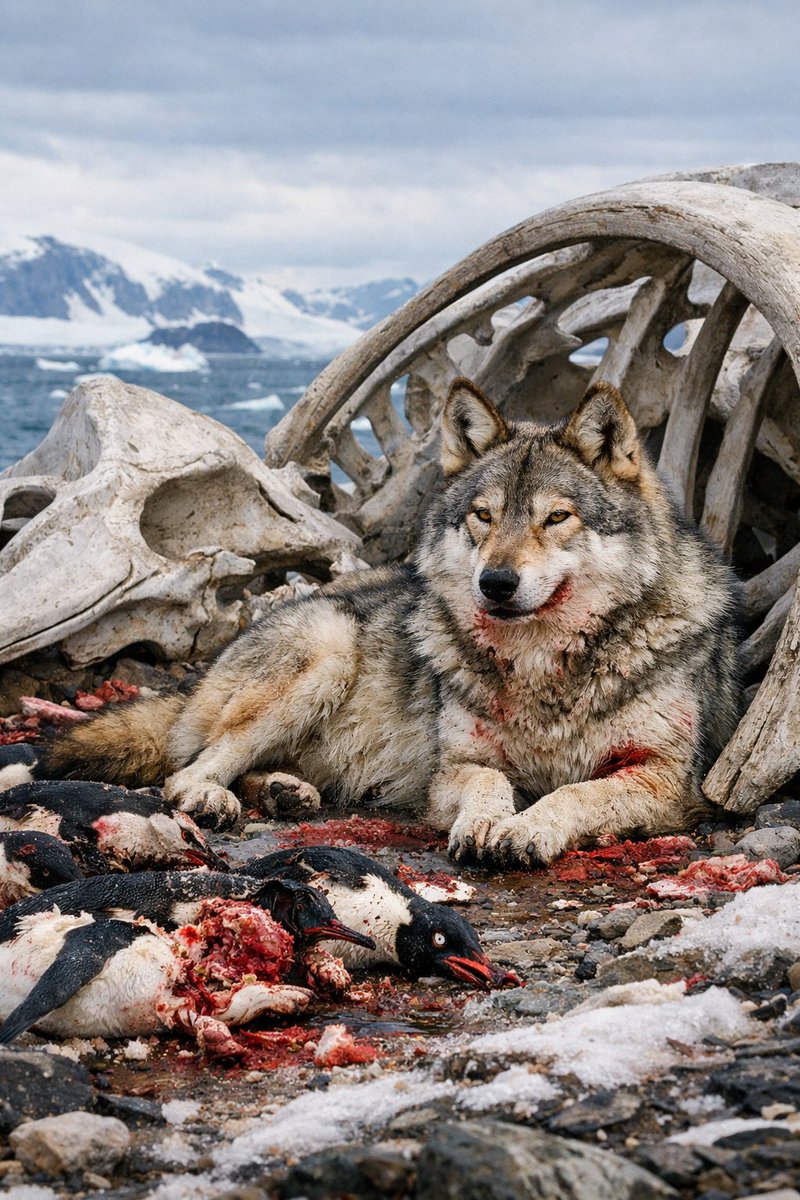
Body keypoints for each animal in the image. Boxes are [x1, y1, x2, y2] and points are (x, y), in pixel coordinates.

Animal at [33, 379, 740, 866]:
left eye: (556, 517)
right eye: (484, 516)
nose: (496, 582)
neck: (543, 671)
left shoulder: (663, 778)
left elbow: (573, 795)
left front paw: (527, 826)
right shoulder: (455, 768)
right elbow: (490, 783)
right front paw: (488, 823)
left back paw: (285, 791)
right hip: (326, 653)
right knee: (189, 769)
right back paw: (219, 796)